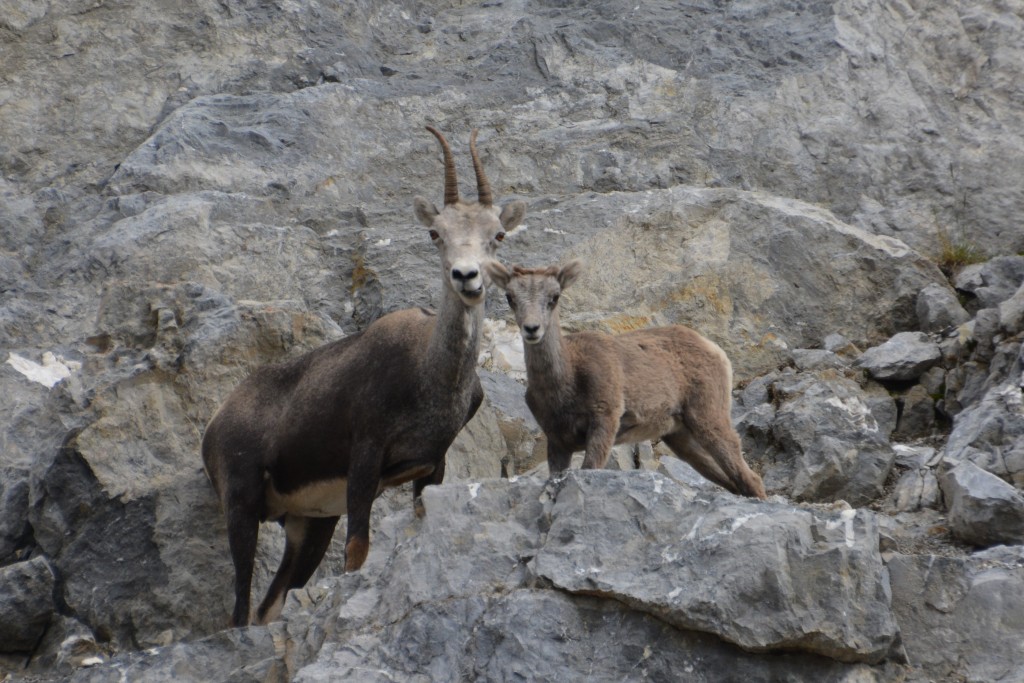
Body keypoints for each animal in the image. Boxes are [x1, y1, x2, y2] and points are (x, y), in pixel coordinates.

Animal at [484, 260, 766, 499]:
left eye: (554, 297)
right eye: (510, 297)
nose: (532, 329)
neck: (565, 385)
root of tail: (716, 351)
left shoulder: (605, 420)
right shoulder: (557, 441)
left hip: (708, 417)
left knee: (750, 477)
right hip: (680, 436)